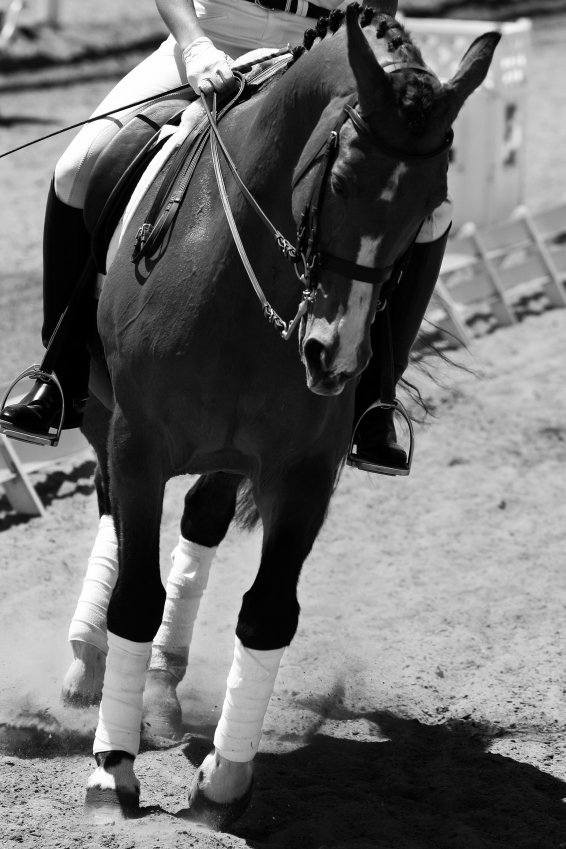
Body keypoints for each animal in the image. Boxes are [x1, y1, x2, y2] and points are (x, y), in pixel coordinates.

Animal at [60, 3, 500, 828]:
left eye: (431, 199)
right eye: (342, 176)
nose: (335, 355)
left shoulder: (303, 471)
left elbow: (266, 613)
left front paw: (224, 780)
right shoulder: (139, 442)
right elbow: (134, 594)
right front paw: (111, 768)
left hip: (229, 456)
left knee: (197, 528)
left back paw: (161, 686)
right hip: (104, 416)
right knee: (112, 517)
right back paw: (86, 665)